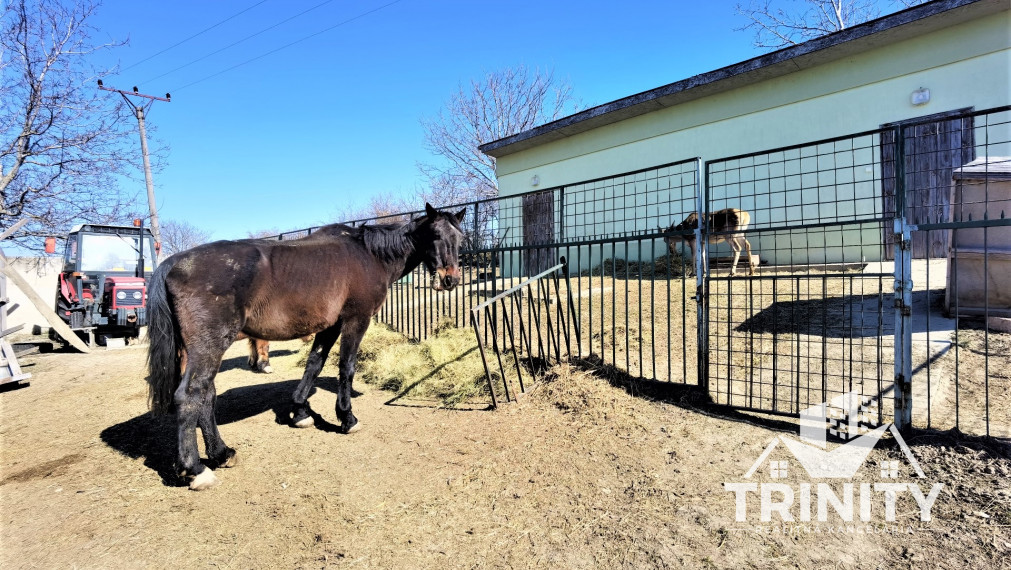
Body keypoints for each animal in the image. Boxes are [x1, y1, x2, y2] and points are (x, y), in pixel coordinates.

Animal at [147, 205, 465, 489]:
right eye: (435, 235)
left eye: (460, 238)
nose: (450, 279)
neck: (369, 255)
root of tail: (171, 265)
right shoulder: (355, 320)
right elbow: (346, 367)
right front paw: (347, 418)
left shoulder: (330, 326)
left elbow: (314, 364)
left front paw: (300, 412)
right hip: (210, 345)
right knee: (190, 395)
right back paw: (195, 469)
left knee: (207, 394)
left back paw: (221, 453)